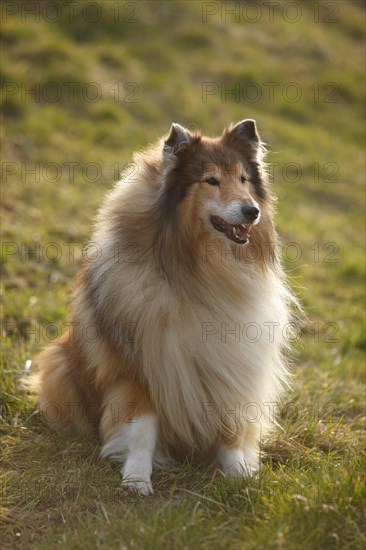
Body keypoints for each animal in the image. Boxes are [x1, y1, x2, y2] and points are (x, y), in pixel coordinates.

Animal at [33, 121, 298, 496]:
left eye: (244, 179)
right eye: (211, 180)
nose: (252, 211)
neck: (200, 273)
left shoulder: (235, 363)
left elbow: (231, 429)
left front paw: (240, 476)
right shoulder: (140, 367)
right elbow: (142, 430)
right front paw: (136, 479)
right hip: (58, 362)